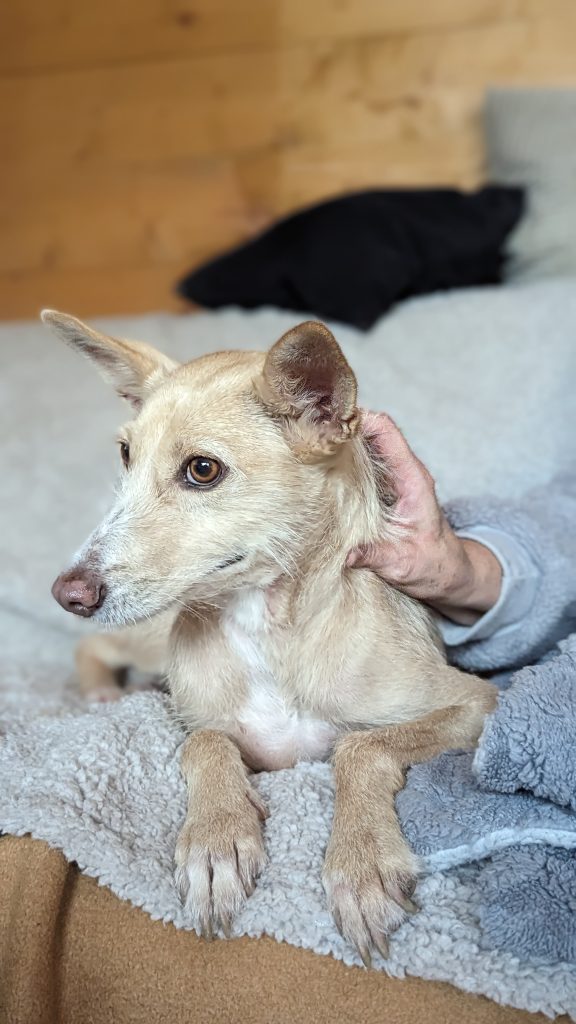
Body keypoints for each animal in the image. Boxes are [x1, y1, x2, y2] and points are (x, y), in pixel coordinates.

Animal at [45, 310, 496, 964]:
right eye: (126, 455)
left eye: (202, 470)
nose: (68, 592)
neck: (267, 630)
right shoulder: (207, 724)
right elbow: (205, 742)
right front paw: (216, 839)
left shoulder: (475, 702)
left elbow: (360, 747)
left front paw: (360, 862)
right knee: (94, 646)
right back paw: (101, 690)